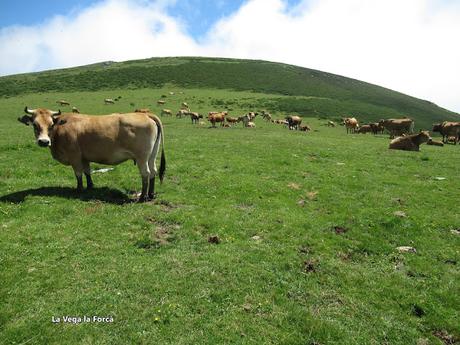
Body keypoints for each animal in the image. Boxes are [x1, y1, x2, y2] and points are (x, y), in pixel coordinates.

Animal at [18, 106, 165, 200]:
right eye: (35, 124)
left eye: (51, 124)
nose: (43, 141)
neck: (60, 128)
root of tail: (145, 114)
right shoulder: (84, 157)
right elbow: (87, 172)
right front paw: (90, 186)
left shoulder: (75, 157)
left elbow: (78, 174)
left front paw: (79, 189)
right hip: (152, 155)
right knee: (153, 171)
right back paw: (151, 195)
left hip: (142, 157)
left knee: (145, 173)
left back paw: (143, 197)